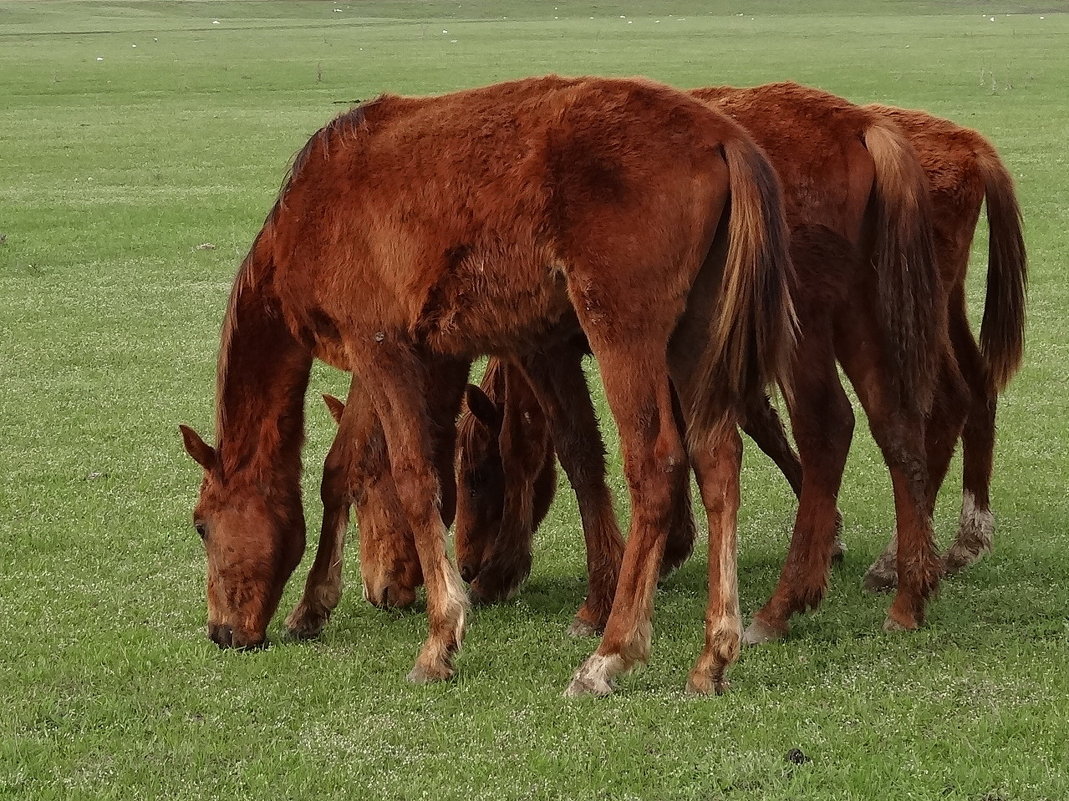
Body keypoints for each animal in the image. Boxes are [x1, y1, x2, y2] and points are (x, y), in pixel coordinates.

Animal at [177, 73, 795, 692]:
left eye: (202, 526)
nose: (221, 632)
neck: (313, 209)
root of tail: (722, 138)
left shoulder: (383, 351)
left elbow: (413, 479)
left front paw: (440, 638)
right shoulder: (378, 357)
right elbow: (341, 470)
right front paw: (313, 606)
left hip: (625, 334)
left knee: (658, 466)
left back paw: (611, 652)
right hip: (695, 340)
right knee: (717, 461)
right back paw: (713, 654)